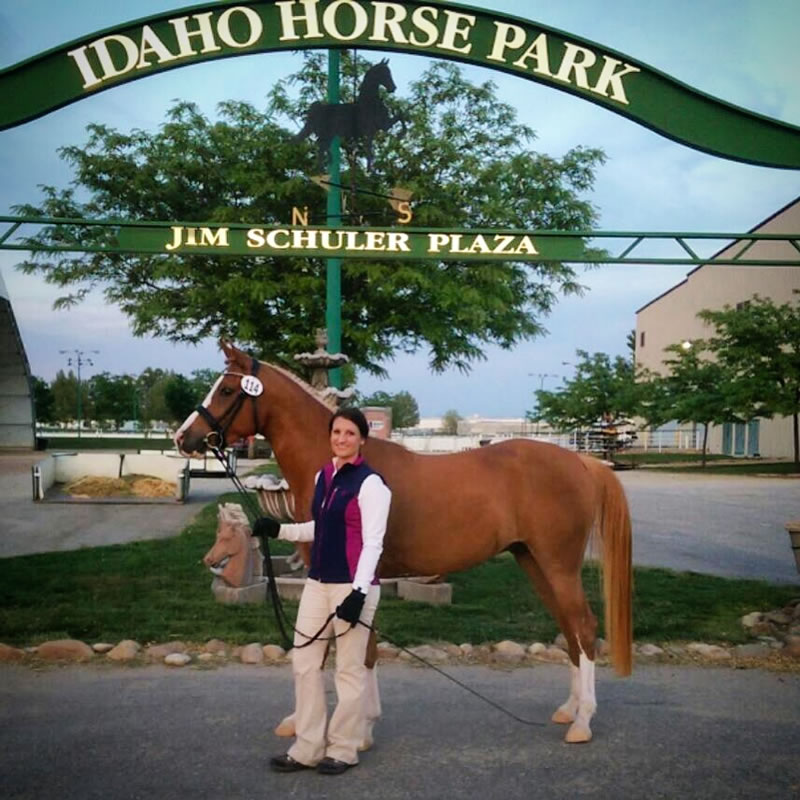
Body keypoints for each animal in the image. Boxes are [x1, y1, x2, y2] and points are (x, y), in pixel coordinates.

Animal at [175, 342, 632, 744]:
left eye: (227, 390)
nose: (183, 438)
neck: (344, 469)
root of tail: (582, 461)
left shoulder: (354, 578)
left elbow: (354, 650)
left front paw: (356, 730)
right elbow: (341, 648)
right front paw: (321, 721)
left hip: (558, 565)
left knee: (584, 627)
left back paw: (583, 723)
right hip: (534, 561)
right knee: (569, 628)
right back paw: (568, 710)